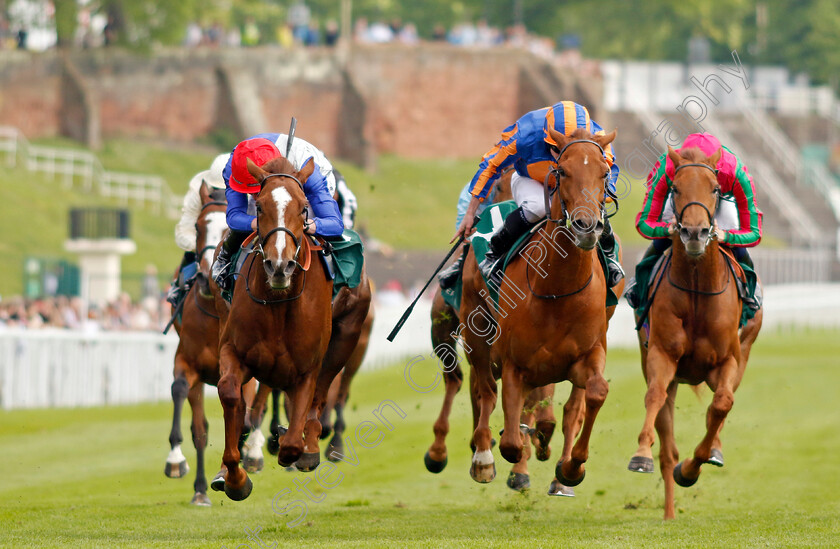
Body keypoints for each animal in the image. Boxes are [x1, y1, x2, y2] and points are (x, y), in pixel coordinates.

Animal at [213, 155, 332, 500]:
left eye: (304, 207)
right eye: (260, 206)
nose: (280, 266)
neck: (279, 303)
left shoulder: (308, 370)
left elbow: (292, 442)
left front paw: (291, 445)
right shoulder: (233, 351)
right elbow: (230, 394)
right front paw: (235, 478)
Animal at [460, 128, 616, 492]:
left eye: (604, 173)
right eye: (562, 171)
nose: (587, 226)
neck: (557, 290)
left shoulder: (586, 356)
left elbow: (595, 393)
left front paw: (572, 466)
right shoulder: (515, 364)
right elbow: (511, 442)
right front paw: (509, 448)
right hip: (476, 332)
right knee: (485, 390)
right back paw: (483, 455)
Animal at [628, 146, 764, 520]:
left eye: (715, 189)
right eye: (674, 188)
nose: (694, 233)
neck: (697, 293)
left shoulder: (728, 359)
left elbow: (722, 405)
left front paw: (694, 466)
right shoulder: (661, 356)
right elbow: (654, 397)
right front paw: (641, 454)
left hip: (743, 352)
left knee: (721, 405)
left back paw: (711, 450)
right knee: (667, 443)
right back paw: (669, 512)